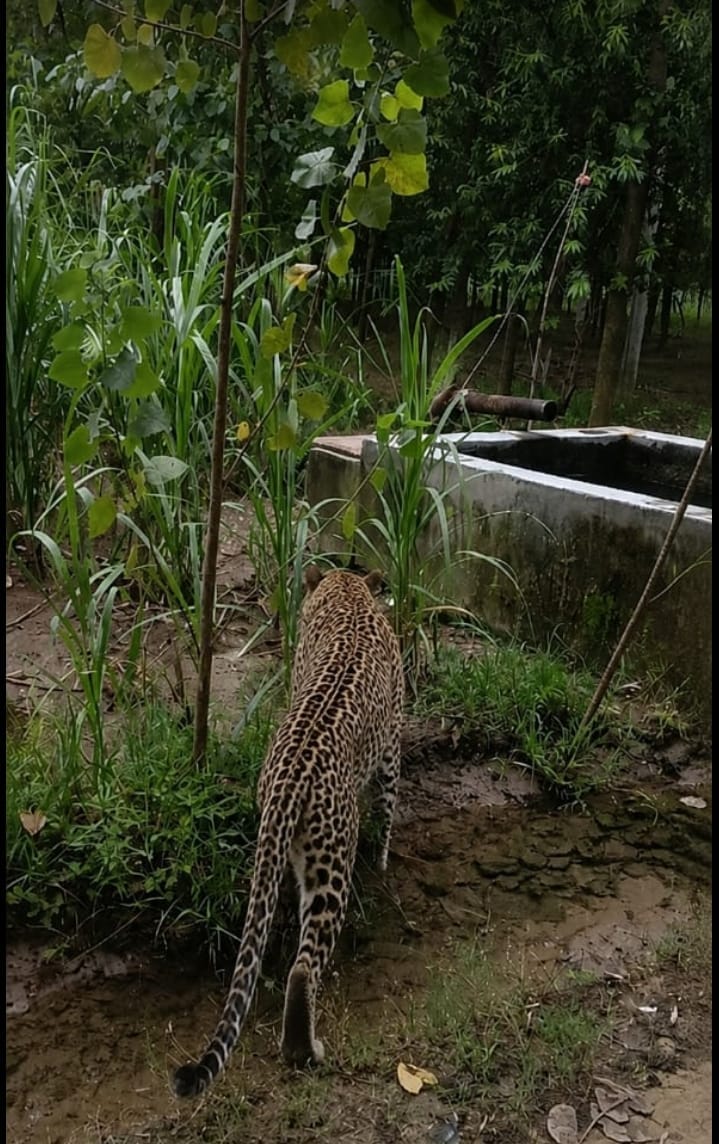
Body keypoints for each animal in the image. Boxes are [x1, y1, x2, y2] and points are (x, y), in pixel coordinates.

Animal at [173, 565, 404, 1098]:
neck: (347, 596)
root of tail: (290, 777)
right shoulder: (391, 747)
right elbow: (388, 809)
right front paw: (384, 859)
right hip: (331, 862)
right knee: (305, 965)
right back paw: (306, 1050)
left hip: (283, 848)